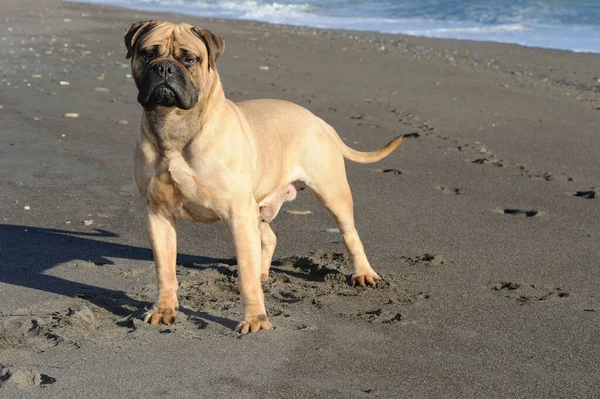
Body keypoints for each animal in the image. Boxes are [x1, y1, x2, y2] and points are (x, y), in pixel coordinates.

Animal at [123, 21, 404, 334]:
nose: (164, 68)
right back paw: (263, 272)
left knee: (350, 235)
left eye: (189, 59)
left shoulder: (238, 213)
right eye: (148, 54)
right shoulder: (158, 214)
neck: (175, 126)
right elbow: (165, 269)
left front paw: (255, 318)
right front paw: (163, 309)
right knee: (269, 237)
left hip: (332, 194)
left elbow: (245, 274)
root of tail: (319, 120)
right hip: (258, 206)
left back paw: (364, 273)